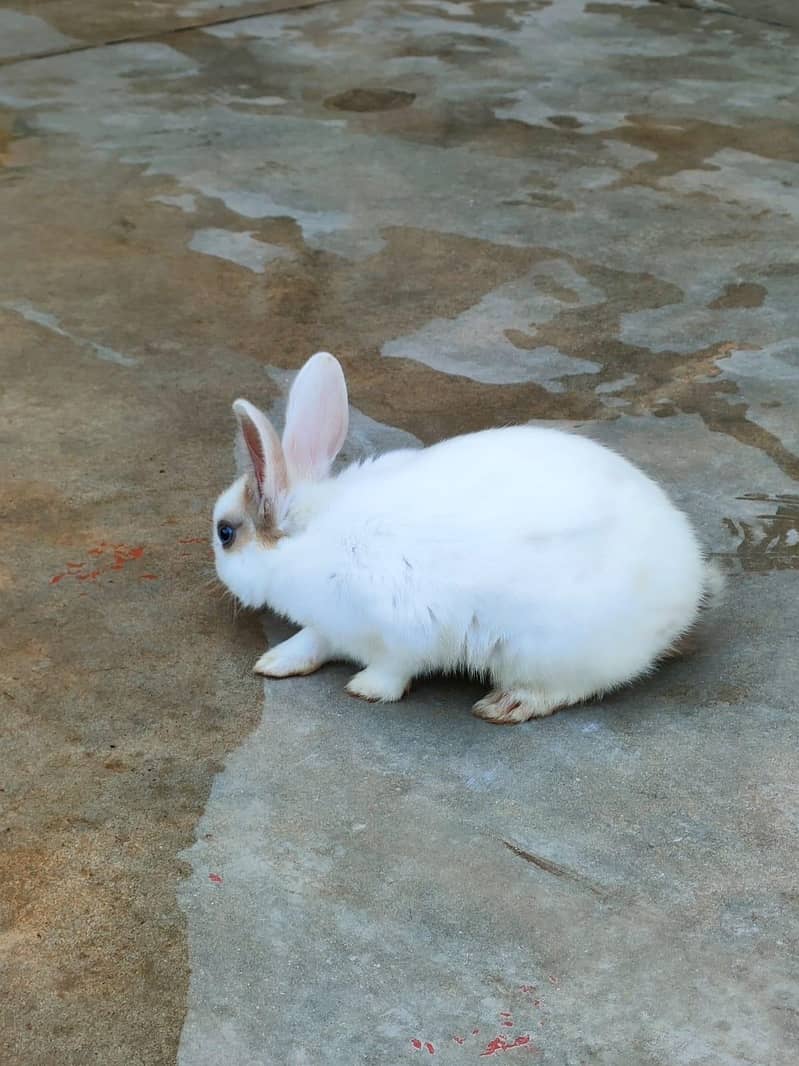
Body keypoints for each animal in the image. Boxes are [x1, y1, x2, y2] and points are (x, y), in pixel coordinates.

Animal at [212, 351, 719, 724]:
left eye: (225, 533)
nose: (218, 574)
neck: (312, 540)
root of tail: (689, 589)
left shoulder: (403, 631)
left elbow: (393, 669)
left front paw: (365, 689)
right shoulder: (332, 625)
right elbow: (313, 640)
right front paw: (276, 661)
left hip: (558, 650)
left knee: (576, 687)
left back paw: (507, 704)